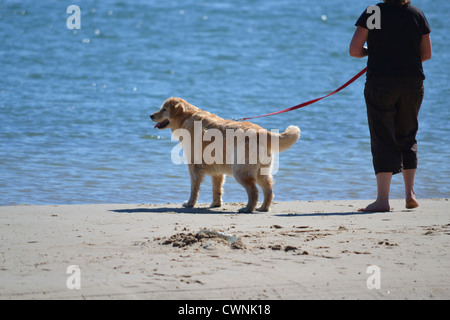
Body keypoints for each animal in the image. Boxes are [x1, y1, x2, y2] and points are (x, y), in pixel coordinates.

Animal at [149, 97, 300, 212]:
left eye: (164, 109)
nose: (150, 115)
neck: (187, 118)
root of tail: (261, 132)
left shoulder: (194, 166)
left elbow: (194, 188)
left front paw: (190, 203)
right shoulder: (217, 170)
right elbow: (216, 188)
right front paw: (216, 204)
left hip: (240, 171)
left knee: (254, 192)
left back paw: (247, 209)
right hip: (261, 171)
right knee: (268, 190)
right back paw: (263, 208)